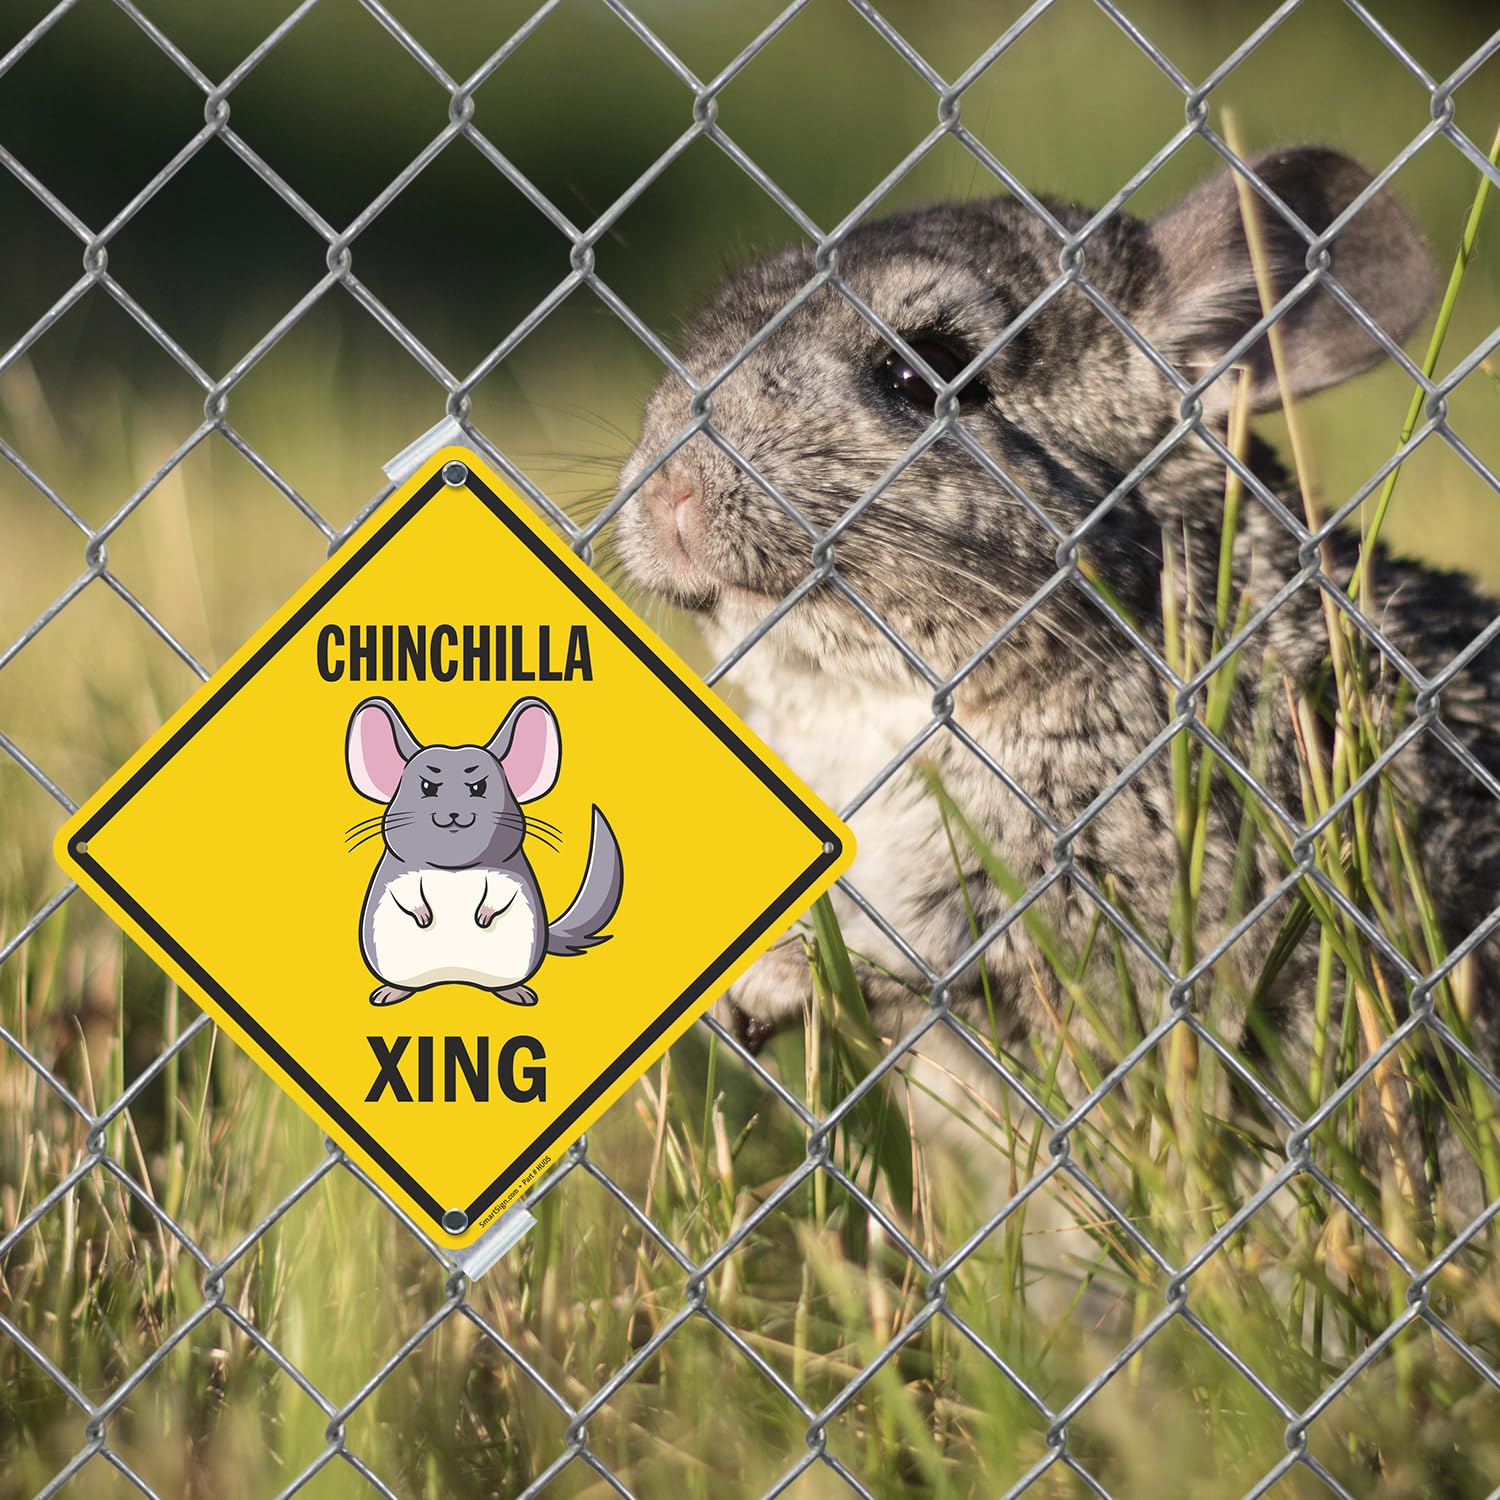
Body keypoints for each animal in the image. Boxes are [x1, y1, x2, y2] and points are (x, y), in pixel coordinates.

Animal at [346, 696, 623, 1007]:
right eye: (427, 787)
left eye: (479, 787)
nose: (453, 814)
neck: (453, 868)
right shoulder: (401, 877)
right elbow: (408, 894)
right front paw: (424, 916)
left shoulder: (506, 877)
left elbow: (498, 894)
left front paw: (484, 916)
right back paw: (391, 992)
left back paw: (516, 993)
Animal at [615, 146, 1500, 1209]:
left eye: (923, 371)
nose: (669, 491)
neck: (878, 711)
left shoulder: (1151, 901)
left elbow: (955, 969)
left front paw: (770, 981)